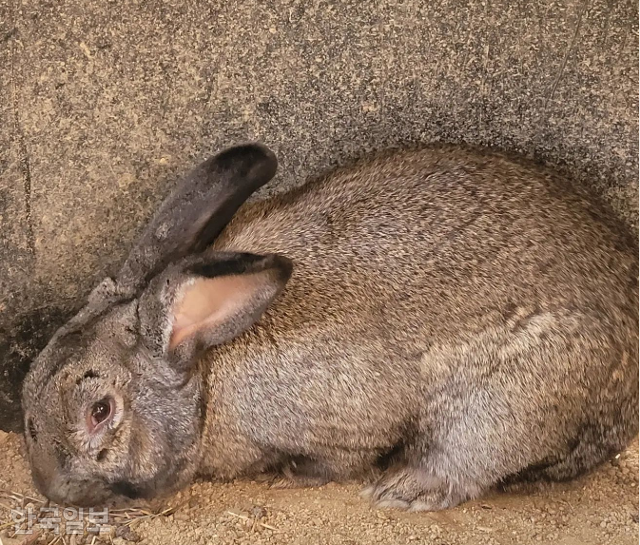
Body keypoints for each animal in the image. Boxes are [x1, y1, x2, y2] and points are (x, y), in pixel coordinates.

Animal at [20, 142, 640, 508]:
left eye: (101, 412)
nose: (55, 490)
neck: (208, 380)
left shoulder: (346, 417)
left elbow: (338, 460)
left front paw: (292, 477)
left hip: (511, 399)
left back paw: (403, 489)